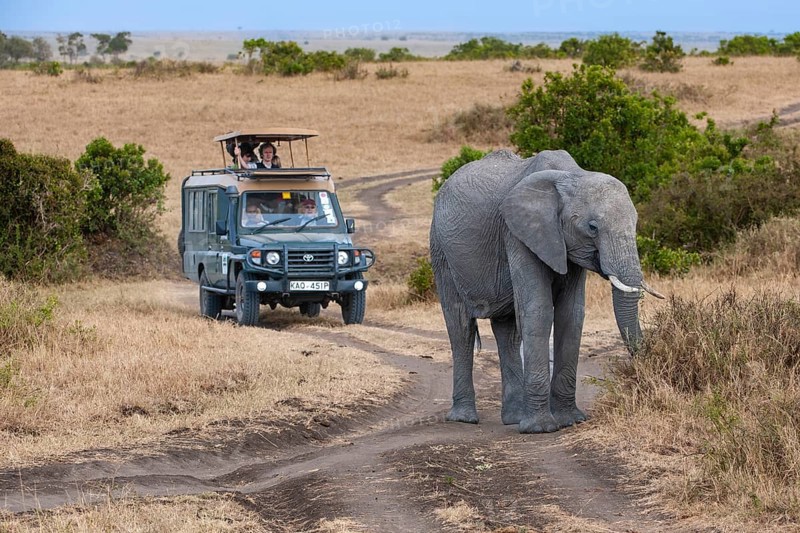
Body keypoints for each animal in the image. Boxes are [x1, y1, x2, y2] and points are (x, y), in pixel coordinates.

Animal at [429, 149, 663, 434]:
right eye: (592, 227)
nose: (644, 369)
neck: (573, 175)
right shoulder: (518, 233)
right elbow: (538, 310)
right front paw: (540, 429)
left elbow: (571, 314)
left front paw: (570, 421)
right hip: (440, 250)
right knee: (460, 326)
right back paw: (465, 418)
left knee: (507, 331)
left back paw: (514, 418)